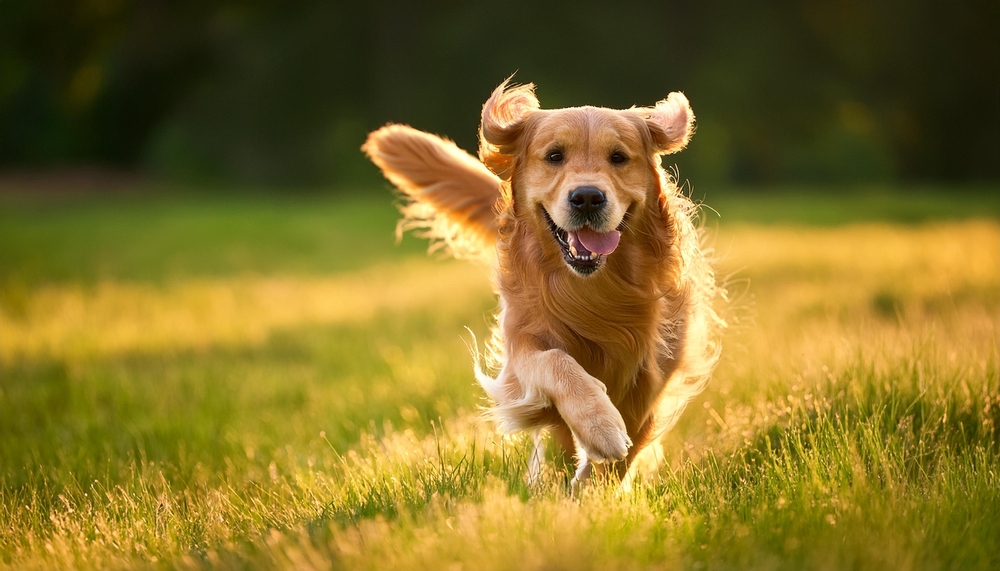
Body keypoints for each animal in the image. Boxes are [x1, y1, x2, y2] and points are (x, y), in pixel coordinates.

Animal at [364, 78, 724, 484]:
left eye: (618, 157)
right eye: (554, 156)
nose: (587, 197)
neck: (593, 290)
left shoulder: (656, 368)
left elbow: (631, 433)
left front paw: (594, 482)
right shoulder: (521, 347)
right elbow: (557, 362)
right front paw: (599, 427)